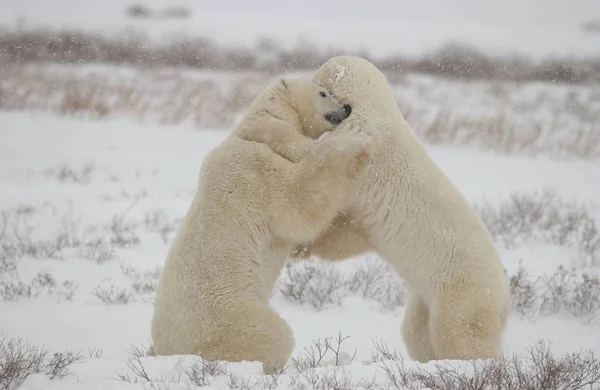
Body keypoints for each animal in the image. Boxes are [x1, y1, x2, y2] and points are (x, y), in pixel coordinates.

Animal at [150, 77, 372, 374]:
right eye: (323, 93)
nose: (347, 107)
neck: (247, 133)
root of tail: (167, 349)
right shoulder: (256, 171)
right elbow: (298, 204)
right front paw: (354, 142)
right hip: (233, 316)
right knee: (272, 335)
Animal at [292, 56, 510, 364]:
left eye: (318, 78)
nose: (307, 85)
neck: (372, 109)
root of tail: (505, 301)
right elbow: (353, 233)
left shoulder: (362, 153)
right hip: (424, 298)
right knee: (417, 332)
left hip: (463, 292)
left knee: (460, 334)